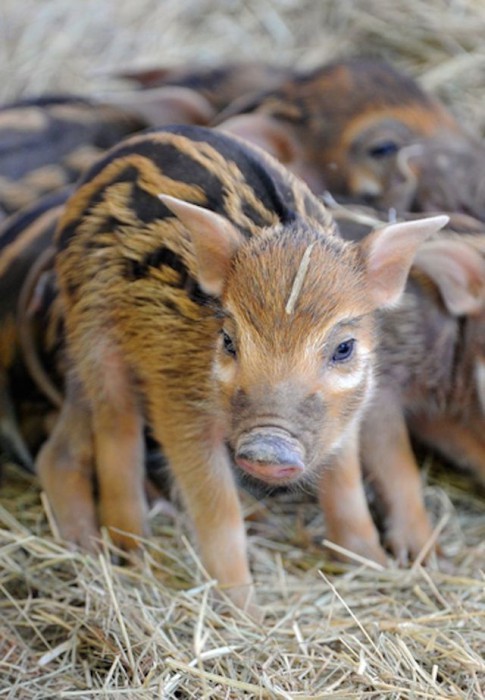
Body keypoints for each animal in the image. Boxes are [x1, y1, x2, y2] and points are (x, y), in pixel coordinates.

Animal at [35, 124, 447, 611]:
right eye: (229, 341)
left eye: (344, 348)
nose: (268, 445)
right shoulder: (176, 401)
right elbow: (217, 509)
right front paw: (244, 610)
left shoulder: (349, 412)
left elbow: (345, 482)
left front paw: (373, 563)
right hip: (94, 332)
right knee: (116, 433)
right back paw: (128, 550)